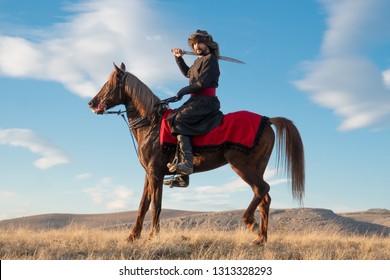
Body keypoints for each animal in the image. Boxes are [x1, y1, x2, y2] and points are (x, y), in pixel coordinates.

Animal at [88, 62, 304, 244]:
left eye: (109, 83)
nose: (91, 103)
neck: (150, 124)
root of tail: (267, 120)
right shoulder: (150, 173)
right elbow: (144, 204)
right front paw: (133, 236)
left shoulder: (155, 172)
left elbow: (155, 205)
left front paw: (151, 237)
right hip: (257, 168)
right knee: (265, 198)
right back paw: (261, 239)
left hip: (242, 166)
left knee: (262, 190)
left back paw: (250, 222)